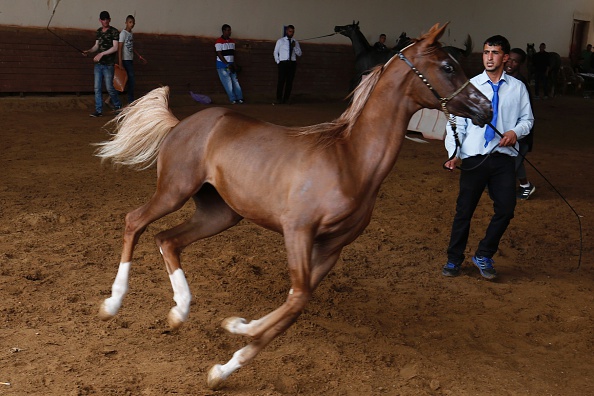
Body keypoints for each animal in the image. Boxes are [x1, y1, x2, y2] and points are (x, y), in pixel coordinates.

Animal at [95, 23, 488, 388]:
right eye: (448, 66)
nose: (485, 107)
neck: (351, 160)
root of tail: (182, 123)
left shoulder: (331, 247)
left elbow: (295, 305)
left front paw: (226, 361)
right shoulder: (298, 230)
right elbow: (297, 298)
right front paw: (239, 328)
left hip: (219, 213)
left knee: (168, 241)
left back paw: (179, 312)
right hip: (174, 191)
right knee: (135, 222)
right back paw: (112, 304)